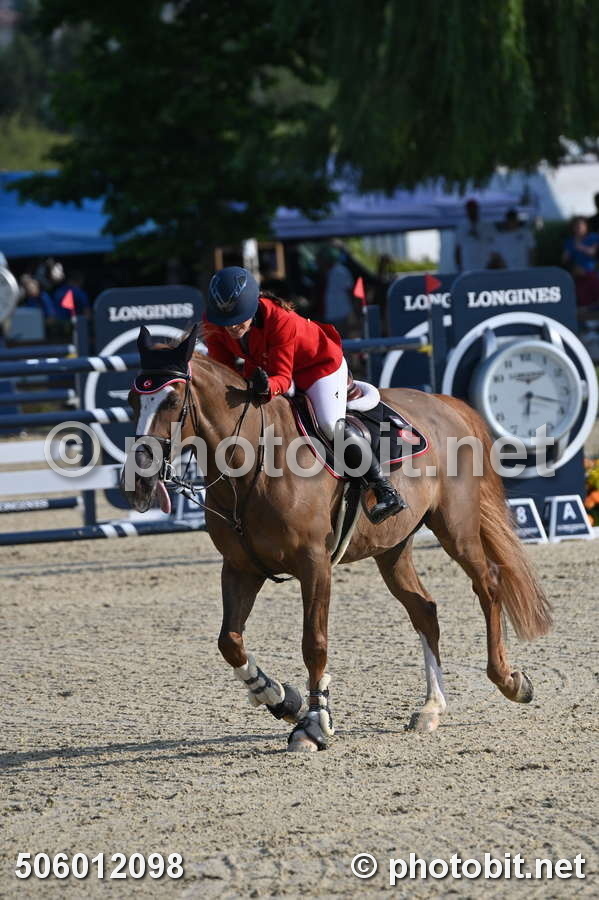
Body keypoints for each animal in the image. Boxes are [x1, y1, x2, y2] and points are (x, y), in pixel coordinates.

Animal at [122, 326, 552, 752]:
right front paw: (282, 700)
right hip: (391, 549)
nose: (140, 480)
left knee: (488, 585)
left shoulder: (314, 564)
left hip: (455, 529)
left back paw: (510, 681)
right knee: (424, 610)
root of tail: (444, 403)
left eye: (171, 399)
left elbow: (314, 643)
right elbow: (229, 641)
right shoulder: (240, 568)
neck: (255, 463)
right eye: (131, 400)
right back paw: (431, 707)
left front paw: (313, 724)